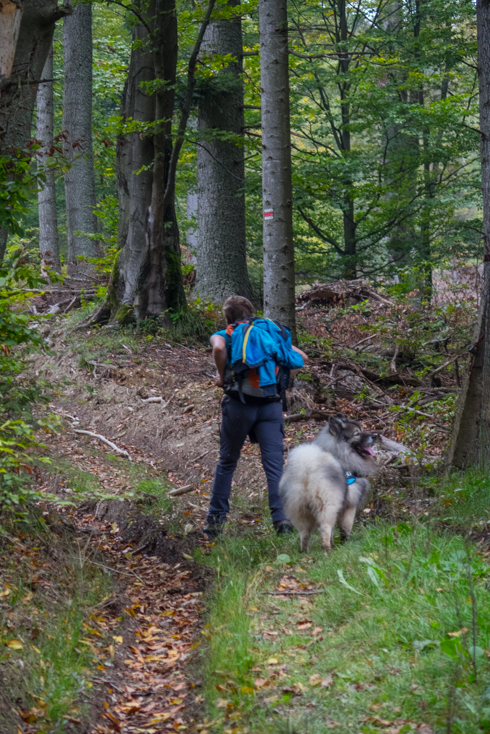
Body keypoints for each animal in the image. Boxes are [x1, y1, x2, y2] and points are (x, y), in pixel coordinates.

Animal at [278, 414, 378, 552]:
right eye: (357, 433)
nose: (375, 435)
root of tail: (307, 469)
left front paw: (335, 544)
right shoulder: (349, 505)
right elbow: (345, 527)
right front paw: (345, 543)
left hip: (299, 509)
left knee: (304, 532)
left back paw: (304, 551)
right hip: (327, 505)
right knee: (325, 527)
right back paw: (326, 549)